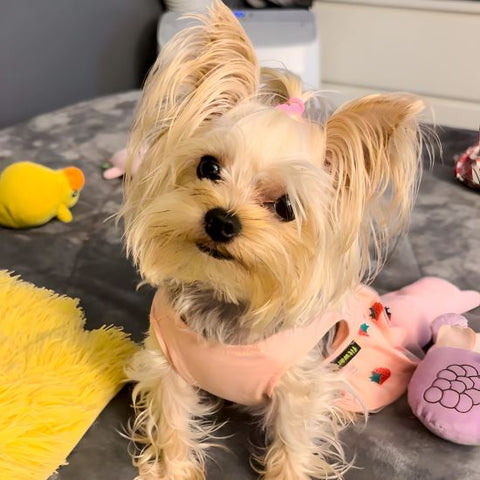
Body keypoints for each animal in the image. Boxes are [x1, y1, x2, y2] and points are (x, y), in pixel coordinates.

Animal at [121, 2, 428, 476]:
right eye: (208, 167)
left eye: (285, 207)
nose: (221, 221)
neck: (226, 296)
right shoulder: (167, 365)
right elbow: (172, 422)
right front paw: (173, 471)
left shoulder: (299, 390)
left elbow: (293, 442)